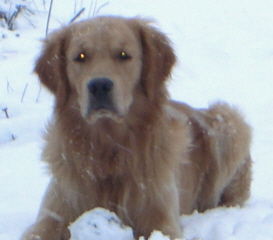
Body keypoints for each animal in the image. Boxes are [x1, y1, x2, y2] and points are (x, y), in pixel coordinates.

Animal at [21, 15, 251, 239]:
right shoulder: (54, 213)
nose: (99, 85)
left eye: (123, 55)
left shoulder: (160, 220)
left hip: (229, 121)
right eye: (81, 56)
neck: (108, 149)